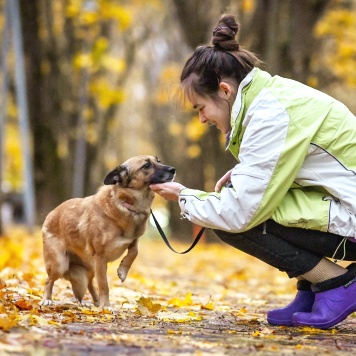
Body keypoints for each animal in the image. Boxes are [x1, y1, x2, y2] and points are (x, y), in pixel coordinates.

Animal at [39, 156, 176, 308]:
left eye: (158, 161)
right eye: (147, 165)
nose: (173, 170)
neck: (125, 204)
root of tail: (50, 215)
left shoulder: (133, 240)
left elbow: (134, 252)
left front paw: (122, 270)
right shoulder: (100, 257)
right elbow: (104, 284)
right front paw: (106, 306)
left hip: (90, 267)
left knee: (89, 283)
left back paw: (95, 302)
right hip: (60, 264)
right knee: (48, 280)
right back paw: (47, 299)